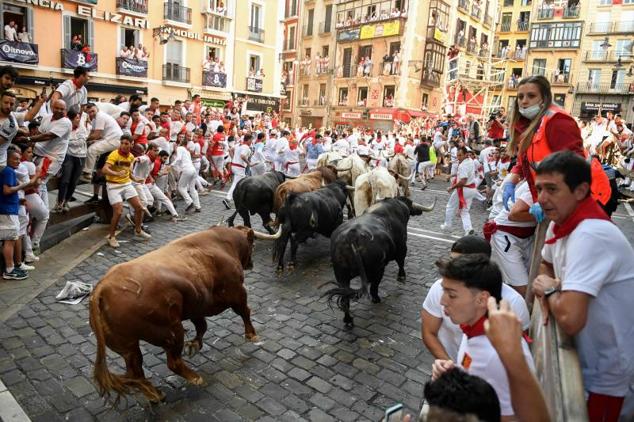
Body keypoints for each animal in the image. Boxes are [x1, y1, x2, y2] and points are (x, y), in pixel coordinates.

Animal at [89, 226, 256, 404]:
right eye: (252, 245)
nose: (251, 264)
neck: (223, 243)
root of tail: (102, 288)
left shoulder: (196, 305)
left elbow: (202, 326)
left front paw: (194, 345)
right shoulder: (236, 292)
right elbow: (244, 312)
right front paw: (251, 334)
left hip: (127, 346)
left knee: (135, 373)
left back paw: (156, 395)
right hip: (171, 331)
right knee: (172, 362)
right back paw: (195, 378)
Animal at [324, 196, 432, 328]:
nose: (419, 211)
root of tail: (352, 234)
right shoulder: (402, 248)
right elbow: (401, 262)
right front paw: (401, 277)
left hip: (341, 276)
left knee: (345, 299)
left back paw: (348, 321)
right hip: (378, 268)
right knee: (374, 285)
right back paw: (376, 299)